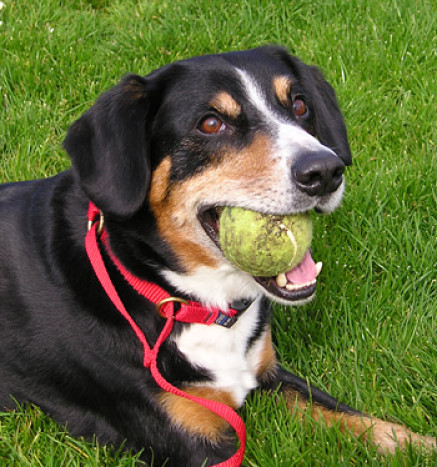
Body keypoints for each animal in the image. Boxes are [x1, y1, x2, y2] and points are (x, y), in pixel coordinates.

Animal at [0, 45, 432, 466]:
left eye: (299, 105)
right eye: (210, 124)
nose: (325, 170)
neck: (191, 303)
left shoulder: (268, 373)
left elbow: (361, 421)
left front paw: (420, 444)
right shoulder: (193, 435)